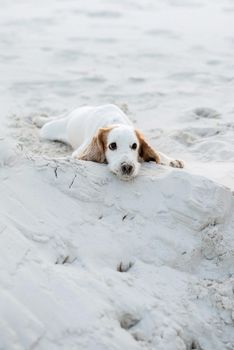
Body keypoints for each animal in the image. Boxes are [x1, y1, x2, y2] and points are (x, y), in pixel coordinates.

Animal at [39, 104, 184, 180]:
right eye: (112, 146)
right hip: (49, 130)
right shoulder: (78, 152)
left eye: (135, 146)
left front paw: (173, 161)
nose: (127, 167)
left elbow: (159, 153)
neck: (116, 122)